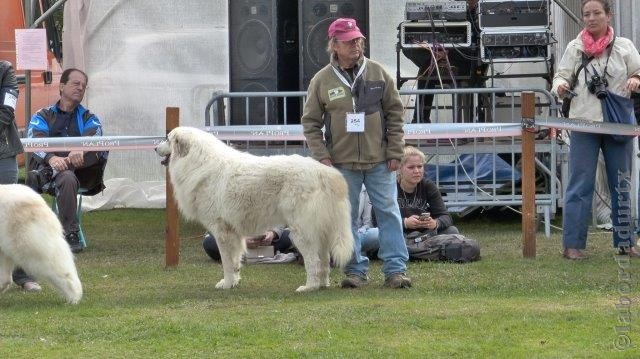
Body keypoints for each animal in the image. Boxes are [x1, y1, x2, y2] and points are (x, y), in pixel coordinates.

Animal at [156, 126, 356, 292]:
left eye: (167, 139)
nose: (155, 148)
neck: (197, 162)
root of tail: (325, 172)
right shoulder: (233, 232)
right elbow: (235, 260)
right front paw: (234, 281)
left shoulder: (221, 231)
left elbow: (226, 261)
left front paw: (227, 283)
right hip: (320, 230)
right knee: (324, 261)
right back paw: (322, 284)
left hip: (302, 231)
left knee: (313, 260)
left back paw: (309, 287)